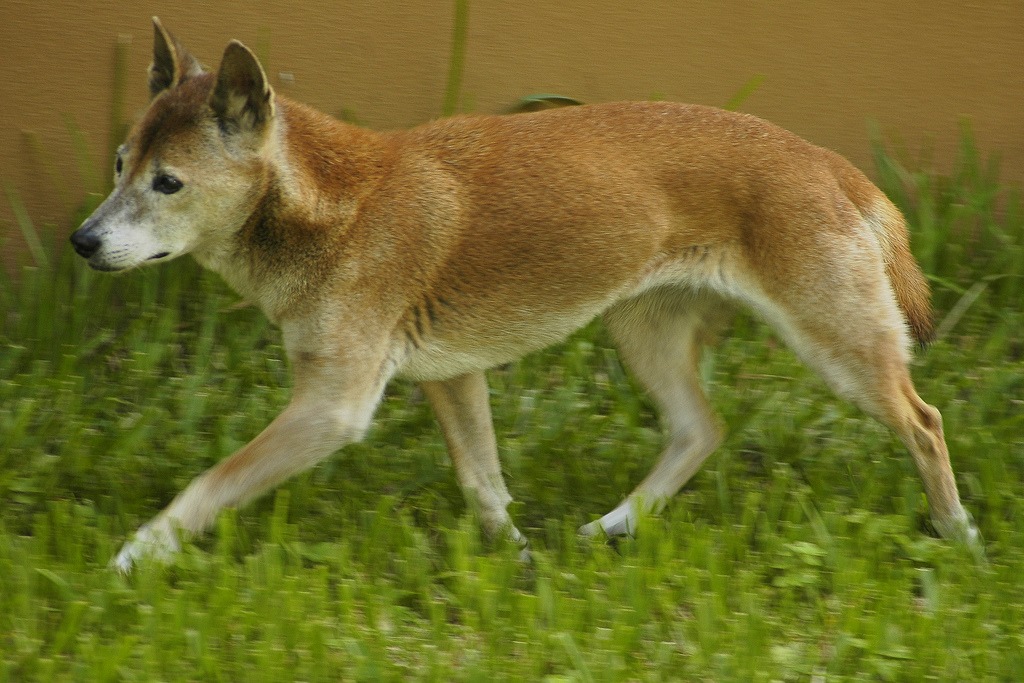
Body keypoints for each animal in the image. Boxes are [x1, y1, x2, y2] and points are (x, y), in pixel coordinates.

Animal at [68, 18, 978, 573]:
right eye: (117, 165)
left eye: (168, 182)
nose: (82, 241)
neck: (336, 205)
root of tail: (827, 161)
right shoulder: (449, 377)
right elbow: (484, 481)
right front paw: (518, 561)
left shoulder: (332, 407)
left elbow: (205, 486)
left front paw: (131, 556)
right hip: (642, 334)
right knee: (701, 429)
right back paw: (614, 525)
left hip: (838, 346)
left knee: (924, 421)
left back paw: (958, 534)